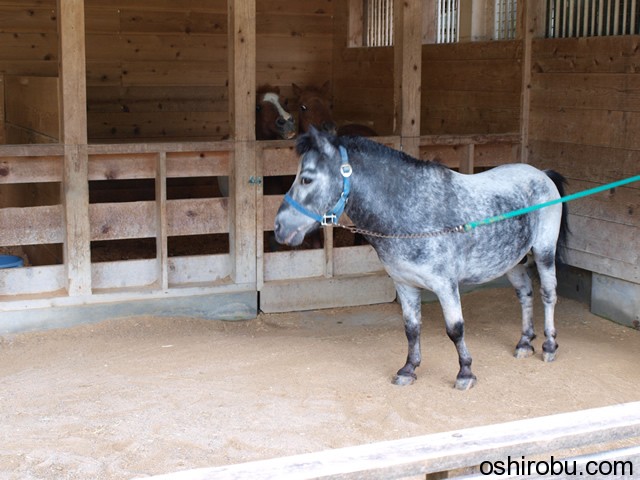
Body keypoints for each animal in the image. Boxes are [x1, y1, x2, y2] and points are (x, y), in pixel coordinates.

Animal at [274, 127, 569, 390]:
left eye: (306, 179)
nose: (279, 227)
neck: (411, 211)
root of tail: (542, 175)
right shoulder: (405, 284)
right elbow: (412, 328)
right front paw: (408, 370)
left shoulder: (446, 285)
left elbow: (455, 329)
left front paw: (465, 373)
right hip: (512, 262)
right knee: (525, 293)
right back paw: (524, 343)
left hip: (544, 252)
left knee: (548, 294)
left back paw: (549, 346)